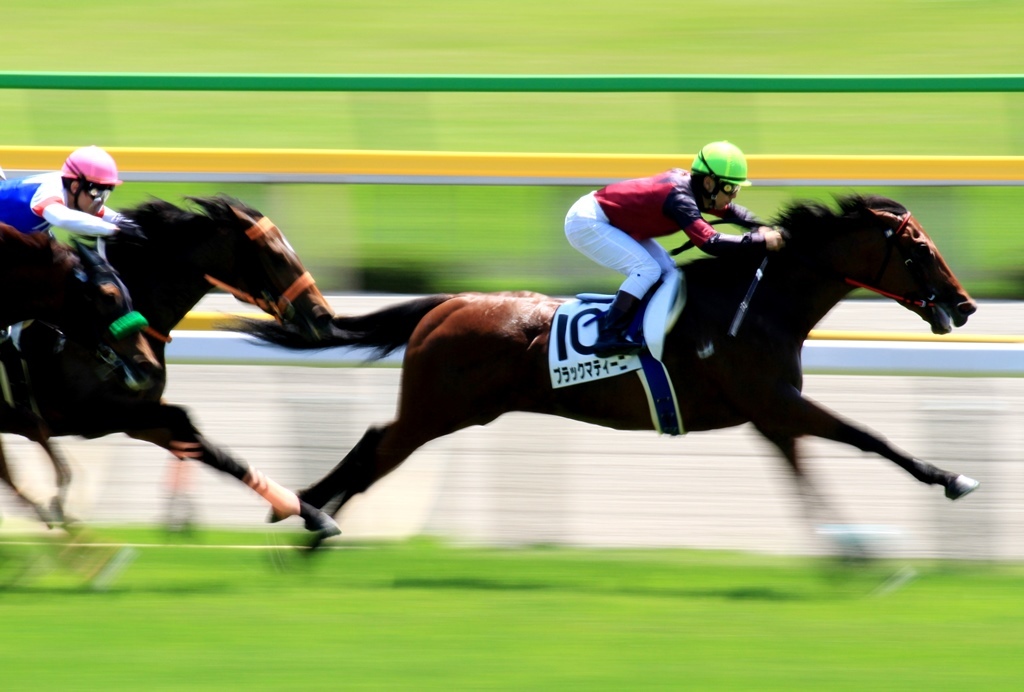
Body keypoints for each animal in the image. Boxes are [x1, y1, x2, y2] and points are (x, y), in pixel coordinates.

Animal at [235, 195, 978, 544]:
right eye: (918, 250)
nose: (966, 305)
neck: (759, 301)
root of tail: (449, 303)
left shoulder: (771, 418)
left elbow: (812, 472)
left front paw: (854, 547)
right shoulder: (776, 403)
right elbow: (868, 438)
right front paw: (948, 480)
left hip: (440, 410)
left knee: (370, 444)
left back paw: (304, 511)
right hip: (435, 410)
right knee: (374, 450)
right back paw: (312, 520)